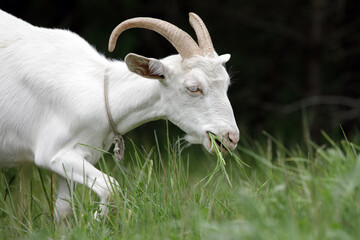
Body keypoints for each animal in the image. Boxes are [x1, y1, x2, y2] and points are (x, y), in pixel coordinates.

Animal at [0, 9, 239, 219]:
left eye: (227, 84)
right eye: (193, 87)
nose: (231, 137)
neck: (99, 92)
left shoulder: (72, 160)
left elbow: (63, 212)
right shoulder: (53, 153)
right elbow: (111, 188)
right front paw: (97, 217)